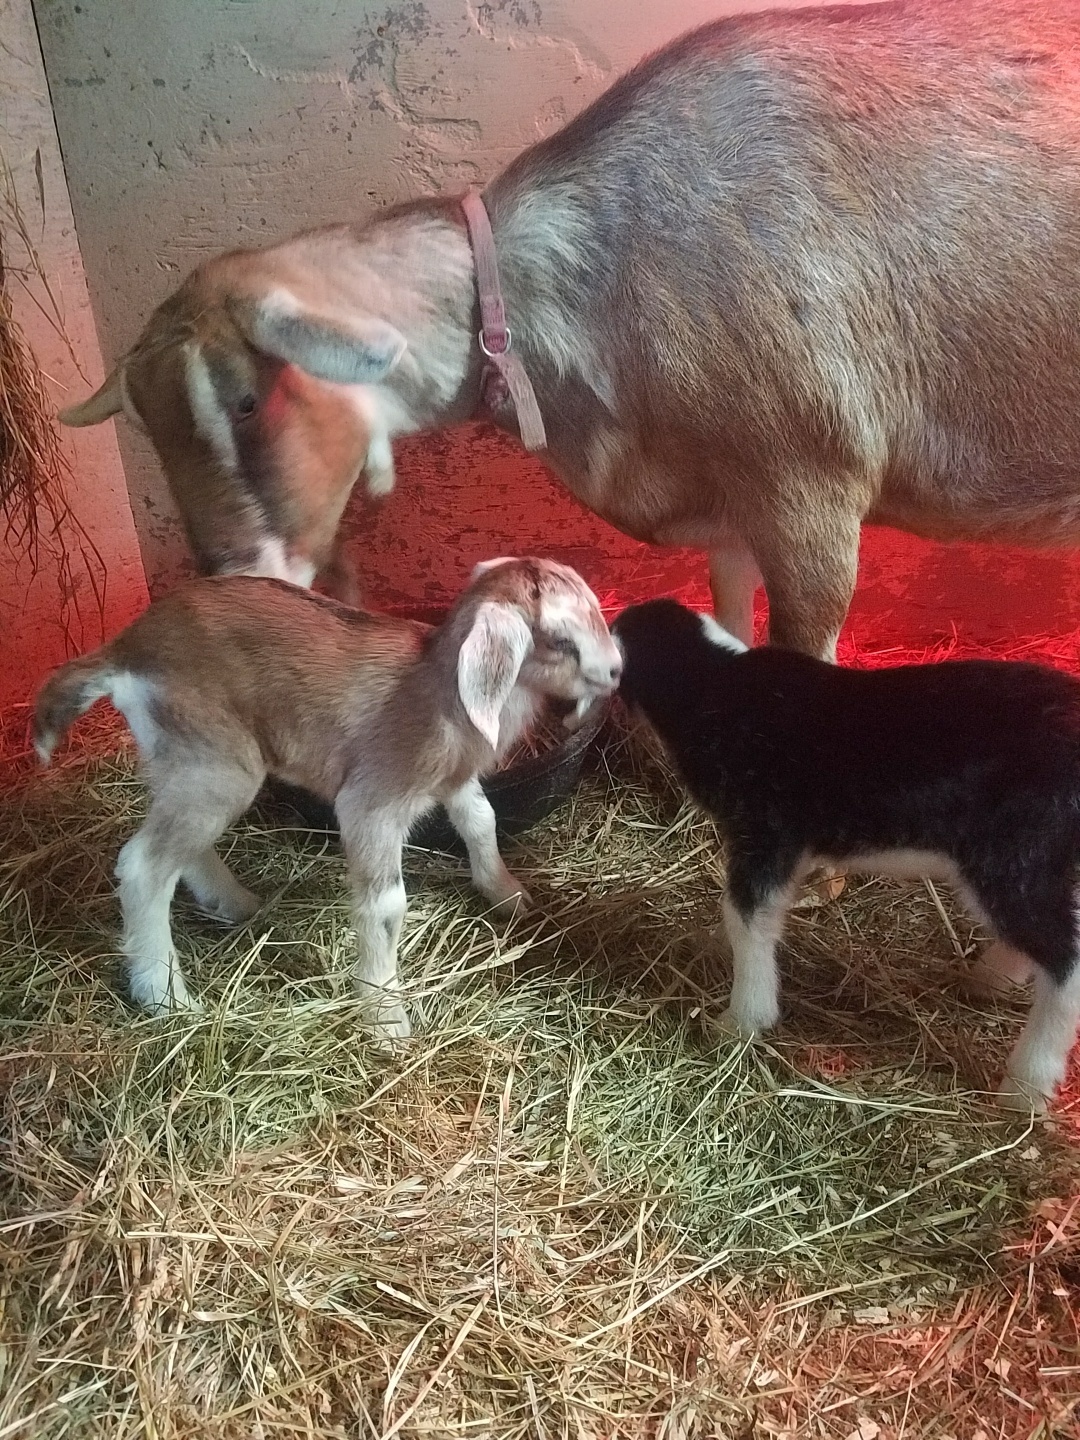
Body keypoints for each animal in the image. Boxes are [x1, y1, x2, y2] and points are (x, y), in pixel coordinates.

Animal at [33, 558, 622, 1036]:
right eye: (561, 640)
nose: (616, 671)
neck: (440, 690)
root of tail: (126, 649)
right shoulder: (372, 802)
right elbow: (386, 905)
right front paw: (386, 1018)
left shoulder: (453, 779)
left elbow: (481, 820)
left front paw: (506, 892)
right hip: (215, 761)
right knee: (144, 866)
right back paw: (164, 996)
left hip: (182, 758)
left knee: (177, 847)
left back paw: (234, 903)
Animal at [58, 0, 1080, 657]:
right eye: (145, 427)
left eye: (245, 399)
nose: (229, 571)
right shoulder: (732, 495)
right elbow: (729, 608)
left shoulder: (810, 479)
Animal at [612, 598, 1080, 1112]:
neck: (714, 682)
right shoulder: (788, 845)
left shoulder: (765, 829)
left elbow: (745, 917)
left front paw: (741, 1020)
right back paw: (991, 979)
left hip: (1012, 855)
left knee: (1066, 960)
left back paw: (1026, 1086)